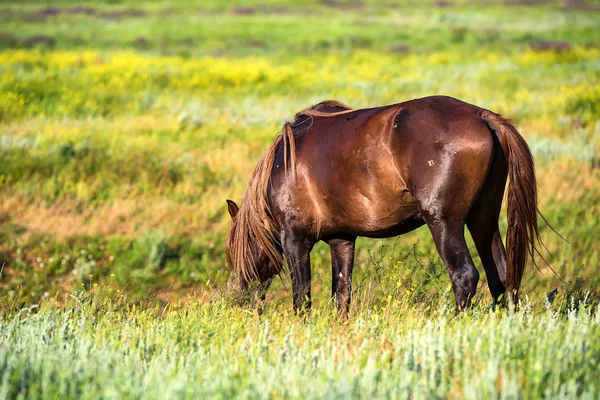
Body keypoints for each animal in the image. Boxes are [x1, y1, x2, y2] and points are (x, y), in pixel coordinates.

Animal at [226, 95, 544, 314]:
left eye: (237, 254)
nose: (239, 301)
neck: (286, 163)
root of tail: (482, 116)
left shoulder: (295, 241)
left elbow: (301, 297)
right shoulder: (342, 240)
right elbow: (341, 295)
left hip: (444, 224)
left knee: (465, 275)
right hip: (483, 219)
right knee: (501, 275)